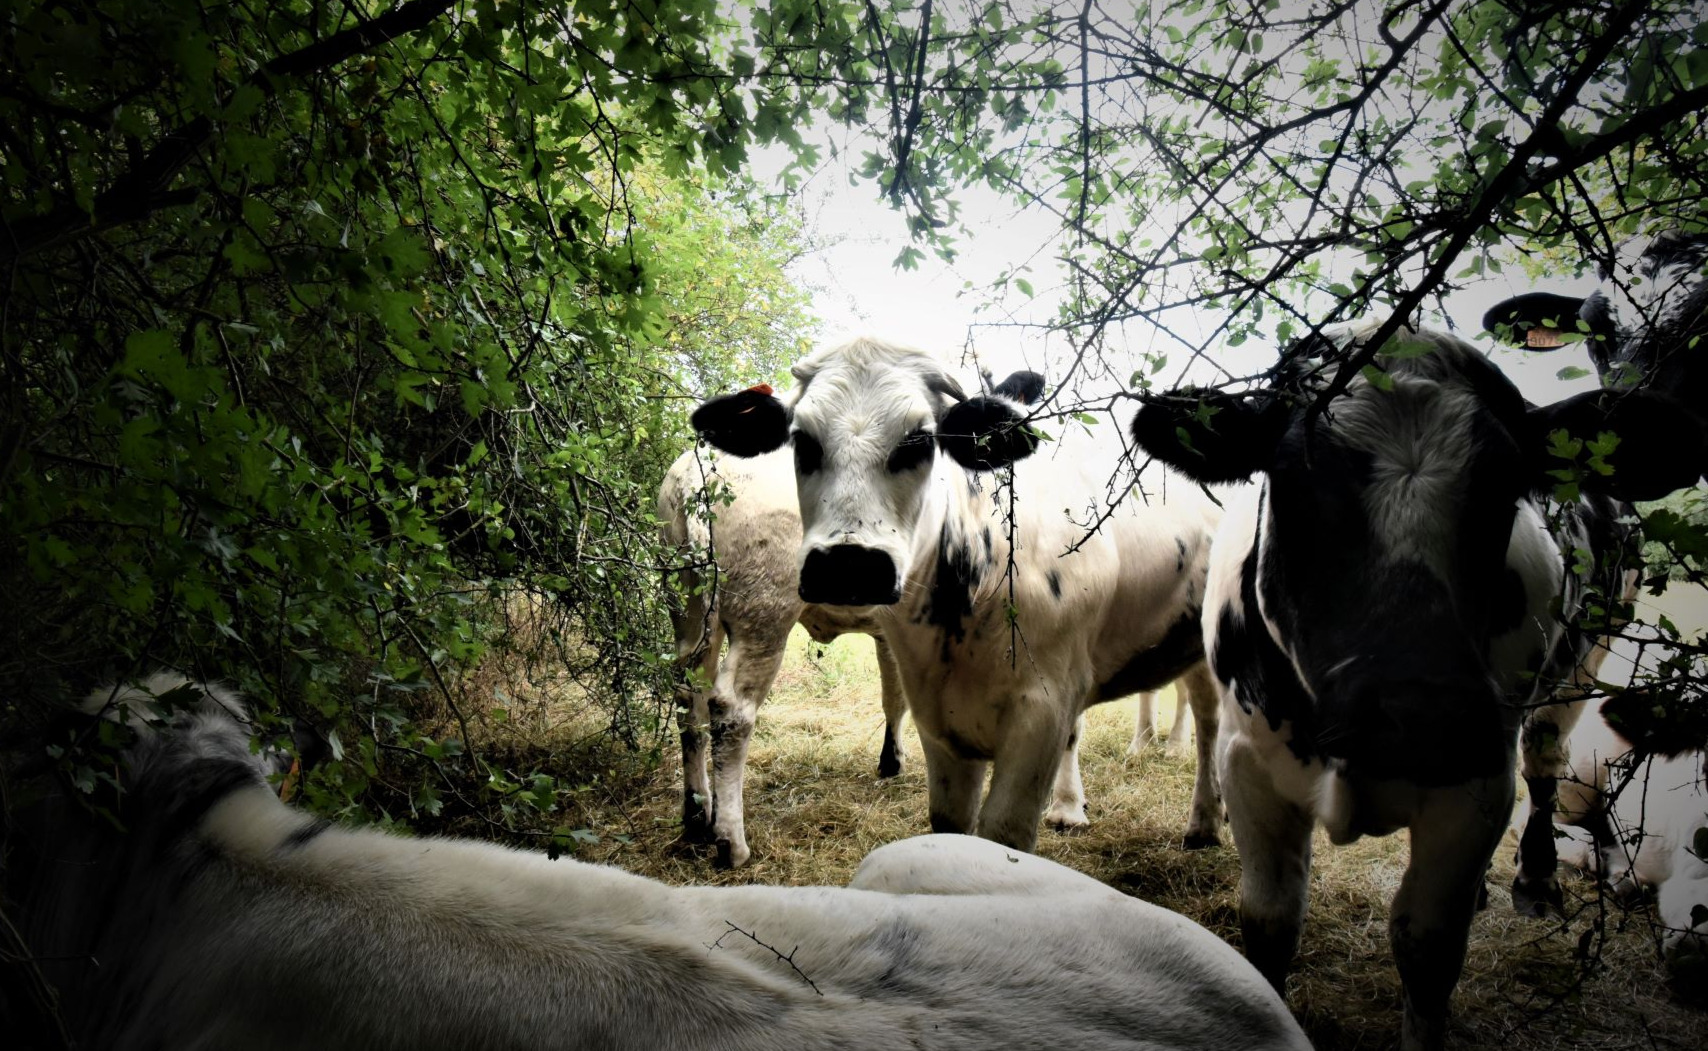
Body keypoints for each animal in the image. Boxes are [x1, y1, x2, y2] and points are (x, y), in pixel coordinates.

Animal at [659, 370, 1051, 868]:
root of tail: (697, 469)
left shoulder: (891, 634)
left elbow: (894, 697)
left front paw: (891, 760)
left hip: (688, 606)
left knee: (686, 692)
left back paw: (695, 813)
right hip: (764, 609)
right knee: (731, 708)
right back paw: (730, 839)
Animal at [690, 337, 1224, 856]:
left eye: (920, 440)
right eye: (802, 440)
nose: (849, 564)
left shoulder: (1045, 707)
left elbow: (1006, 827)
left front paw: (1068, 807)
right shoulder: (940, 721)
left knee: (1209, 713)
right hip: (750, 611)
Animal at [1128, 323, 1698, 1051]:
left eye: (1505, 488)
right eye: (1292, 479)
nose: (1422, 716)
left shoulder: (1477, 781)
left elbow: (1428, 948)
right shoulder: (1248, 760)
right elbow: (1271, 920)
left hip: (1582, 663)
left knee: (1544, 762)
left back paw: (1535, 877)